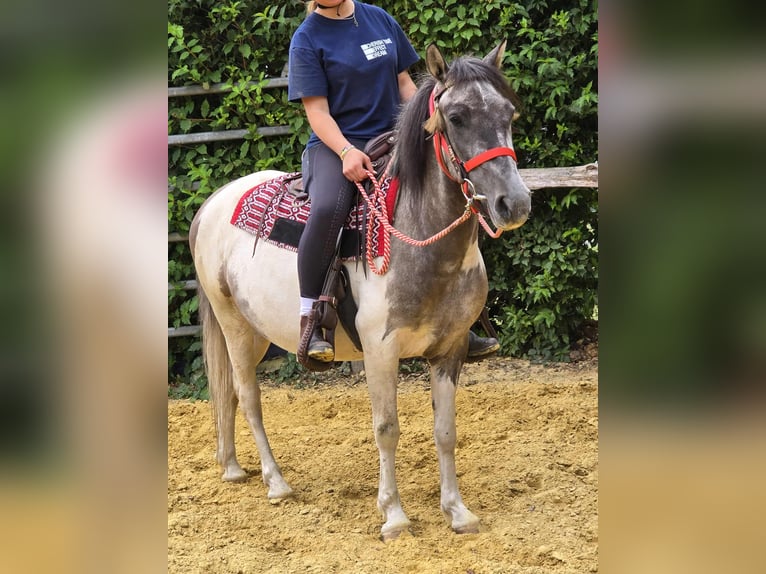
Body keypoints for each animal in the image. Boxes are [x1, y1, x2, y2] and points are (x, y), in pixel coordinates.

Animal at [189, 40, 531, 540]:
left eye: (508, 112)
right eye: (457, 117)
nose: (515, 203)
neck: (417, 238)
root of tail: (213, 203)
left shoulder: (450, 350)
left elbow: (446, 431)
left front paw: (458, 511)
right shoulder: (380, 350)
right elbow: (387, 428)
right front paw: (393, 516)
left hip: (257, 333)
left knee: (229, 393)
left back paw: (232, 467)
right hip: (232, 324)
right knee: (248, 396)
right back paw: (275, 482)